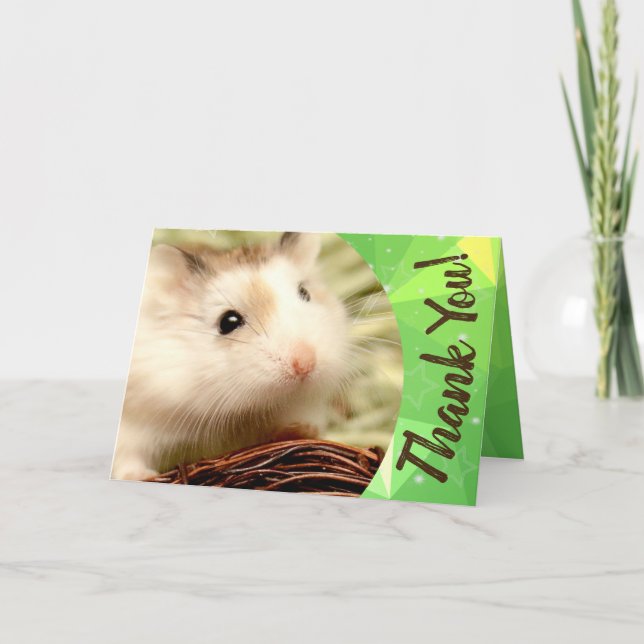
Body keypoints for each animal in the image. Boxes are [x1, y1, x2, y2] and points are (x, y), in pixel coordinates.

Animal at [111, 232, 352, 481]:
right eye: (227, 322)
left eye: (305, 293)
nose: (305, 364)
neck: (242, 413)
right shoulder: (135, 427)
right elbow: (128, 458)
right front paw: (142, 476)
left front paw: (299, 430)